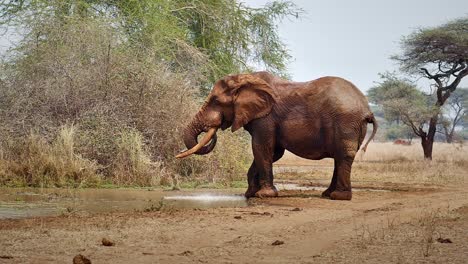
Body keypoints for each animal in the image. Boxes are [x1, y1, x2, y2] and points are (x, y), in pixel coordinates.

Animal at [176, 71, 376, 200]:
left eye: (215, 101)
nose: (213, 128)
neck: (245, 79)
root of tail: (367, 108)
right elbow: (273, 153)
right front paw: (250, 194)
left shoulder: (266, 118)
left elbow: (261, 148)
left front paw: (264, 195)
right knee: (339, 156)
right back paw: (327, 194)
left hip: (346, 121)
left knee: (344, 154)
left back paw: (338, 196)